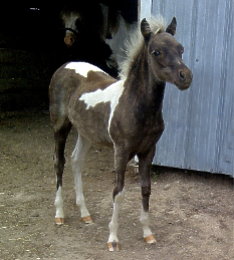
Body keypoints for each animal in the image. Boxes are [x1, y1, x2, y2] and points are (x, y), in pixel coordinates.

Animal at [49, 17, 192, 251]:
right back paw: (59, 214)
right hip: (60, 126)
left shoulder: (148, 151)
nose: (185, 77)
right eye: (156, 52)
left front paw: (148, 233)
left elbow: (146, 189)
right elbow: (118, 191)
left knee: (76, 161)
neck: (134, 104)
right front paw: (113, 239)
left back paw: (85, 214)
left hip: (86, 133)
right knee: (59, 162)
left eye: (181, 49)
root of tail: (65, 66)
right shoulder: (121, 151)